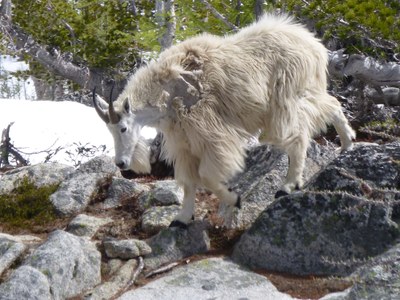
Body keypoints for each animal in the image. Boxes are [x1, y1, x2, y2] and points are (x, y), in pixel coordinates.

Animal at [94, 13, 356, 227]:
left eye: (123, 128)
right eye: (109, 130)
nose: (121, 163)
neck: (165, 93)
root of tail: (315, 47)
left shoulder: (210, 135)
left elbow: (208, 177)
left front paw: (234, 199)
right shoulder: (184, 143)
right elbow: (188, 182)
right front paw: (182, 219)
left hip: (288, 99)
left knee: (299, 133)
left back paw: (289, 185)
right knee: (331, 105)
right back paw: (347, 145)